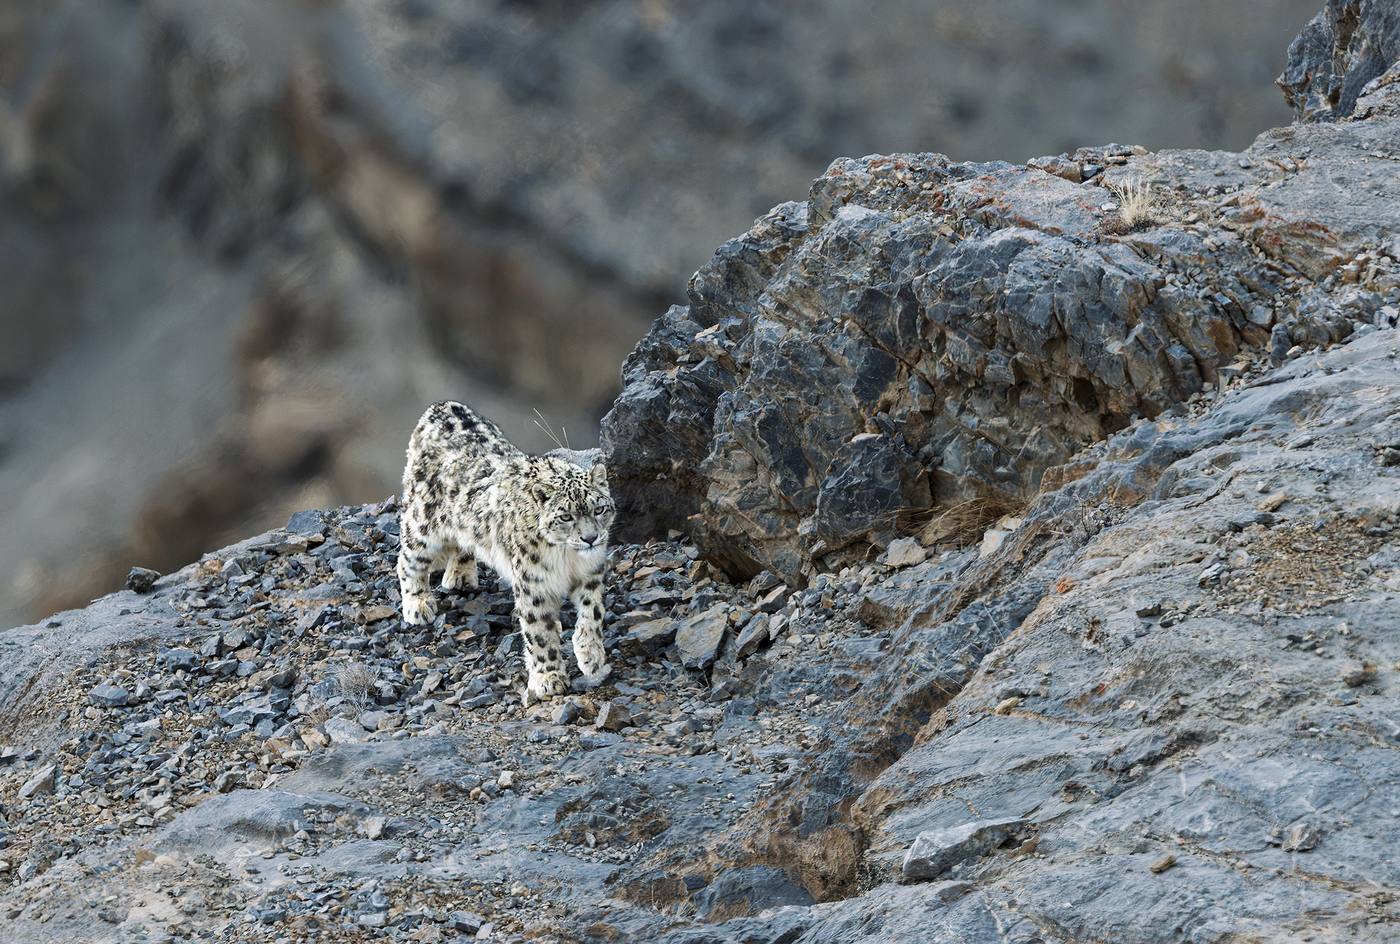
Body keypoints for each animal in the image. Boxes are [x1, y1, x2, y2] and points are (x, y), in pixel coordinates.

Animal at [396, 400, 615, 704]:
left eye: (599, 509)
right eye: (566, 516)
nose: (591, 538)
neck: (568, 559)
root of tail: (442, 406)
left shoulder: (591, 572)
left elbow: (592, 613)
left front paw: (590, 655)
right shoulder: (534, 585)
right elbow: (539, 633)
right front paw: (548, 678)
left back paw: (460, 576)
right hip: (423, 524)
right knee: (408, 559)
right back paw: (417, 604)